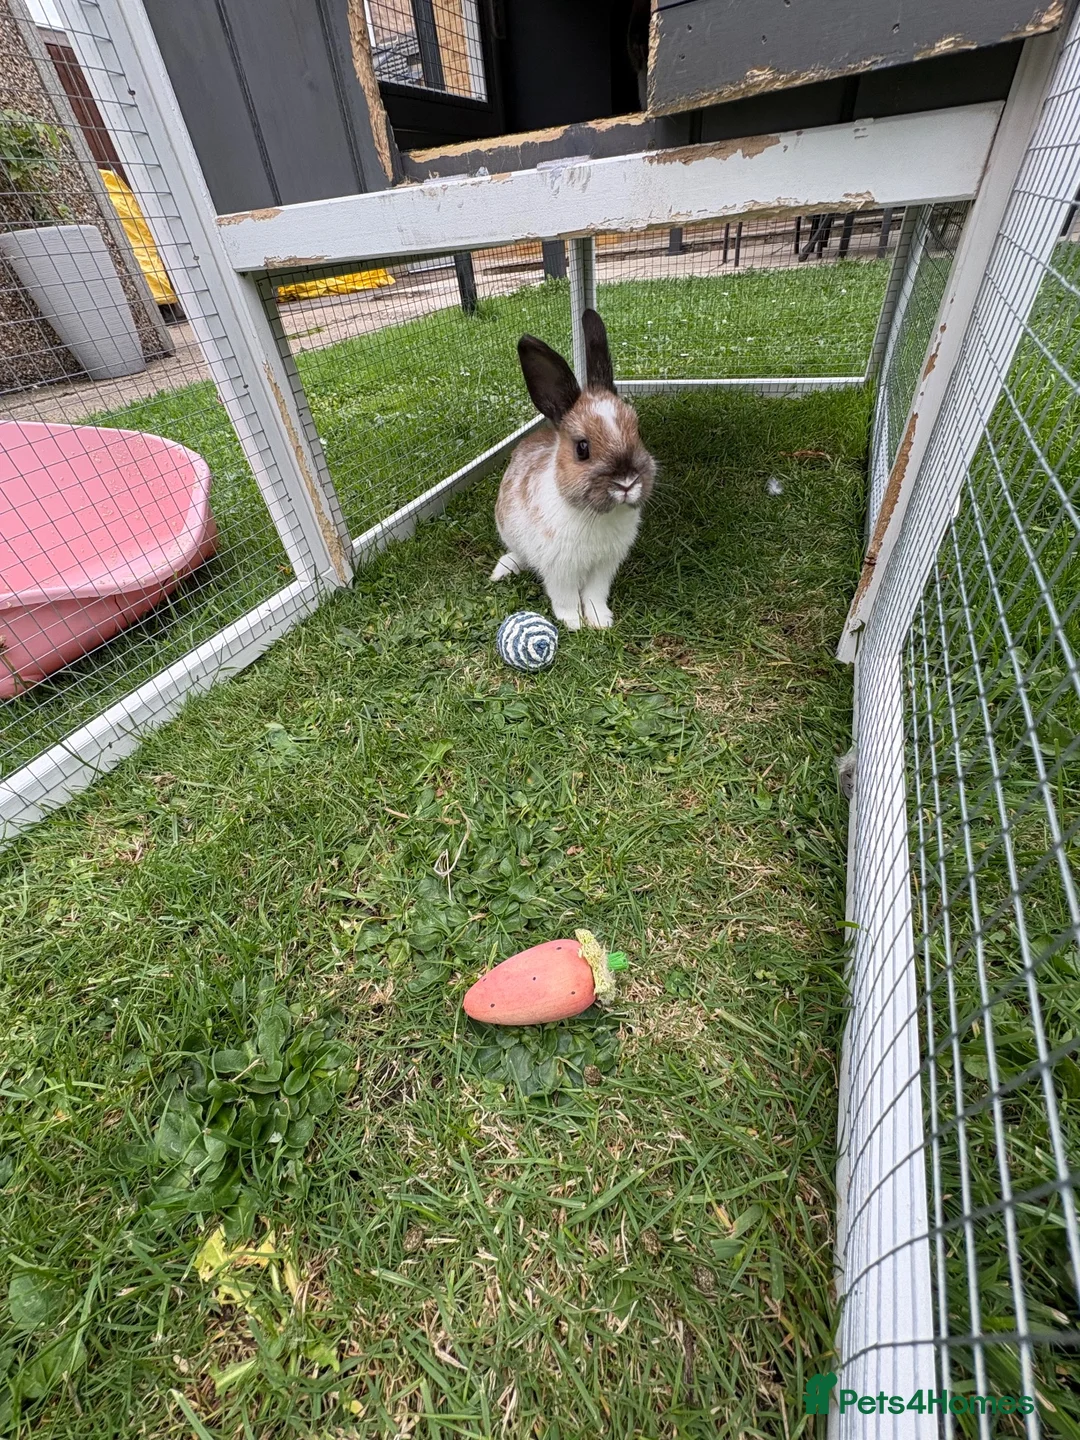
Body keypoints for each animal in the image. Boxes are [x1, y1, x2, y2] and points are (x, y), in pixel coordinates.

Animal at [491, 309, 656, 630]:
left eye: (638, 430)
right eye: (582, 448)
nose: (627, 482)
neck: (596, 516)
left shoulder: (604, 566)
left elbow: (594, 594)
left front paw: (600, 620)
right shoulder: (559, 569)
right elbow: (564, 597)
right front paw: (573, 623)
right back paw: (503, 569)